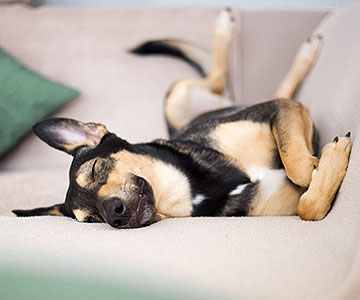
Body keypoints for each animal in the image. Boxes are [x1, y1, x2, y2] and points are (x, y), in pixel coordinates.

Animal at [12, 8, 350, 230]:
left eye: (95, 169)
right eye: (91, 220)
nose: (114, 215)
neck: (192, 190)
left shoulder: (276, 110)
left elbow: (299, 169)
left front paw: (323, 160)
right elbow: (308, 207)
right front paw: (328, 163)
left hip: (178, 94)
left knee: (222, 79)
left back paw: (235, 30)